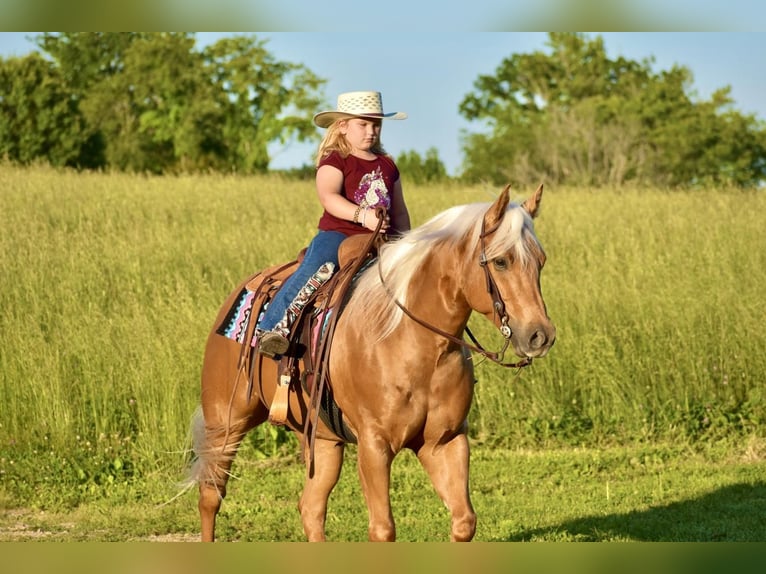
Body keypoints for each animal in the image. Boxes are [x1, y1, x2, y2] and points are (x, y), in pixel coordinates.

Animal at [188, 186, 556, 544]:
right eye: (501, 261)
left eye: (540, 261)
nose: (540, 335)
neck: (412, 343)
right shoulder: (374, 445)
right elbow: (383, 530)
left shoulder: (444, 442)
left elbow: (464, 522)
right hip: (226, 422)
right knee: (210, 495)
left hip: (323, 440)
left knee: (311, 508)